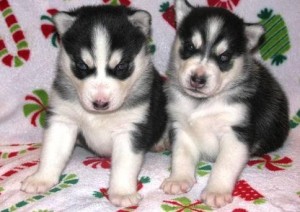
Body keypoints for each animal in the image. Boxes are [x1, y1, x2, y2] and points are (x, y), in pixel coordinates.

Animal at [20, 4, 166, 207]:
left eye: (121, 66)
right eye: (82, 65)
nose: (100, 103)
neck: (99, 116)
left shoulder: (131, 128)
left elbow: (124, 163)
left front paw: (122, 192)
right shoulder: (63, 119)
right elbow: (52, 151)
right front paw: (41, 178)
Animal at [161, 0, 290, 208]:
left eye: (223, 57)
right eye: (189, 46)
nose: (198, 79)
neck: (202, 103)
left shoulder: (236, 133)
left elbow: (224, 164)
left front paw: (216, 191)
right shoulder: (181, 127)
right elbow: (181, 155)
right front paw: (178, 179)